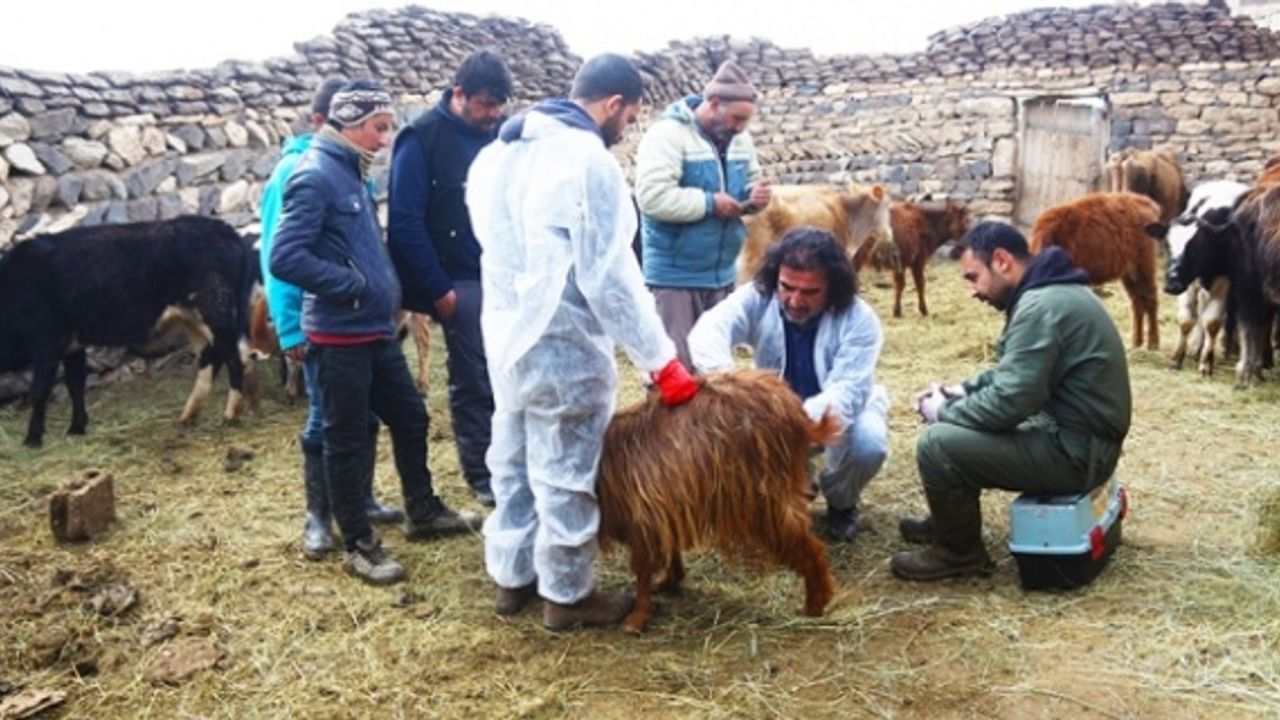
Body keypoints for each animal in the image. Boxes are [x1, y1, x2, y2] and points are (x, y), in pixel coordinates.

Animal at [0, 215, 259, 445]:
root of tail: (226, 230)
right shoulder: (73, 345)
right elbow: (76, 386)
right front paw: (76, 428)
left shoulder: (47, 341)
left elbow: (39, 389)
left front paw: (32, 438)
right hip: (194, 321)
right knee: (211, 359)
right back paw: (189, 417)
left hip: (217, 315)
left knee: (236, 358)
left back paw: (230, 415)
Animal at [596, 366, 839, 630]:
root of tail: (794, 410)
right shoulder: (669, 509)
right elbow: (671, 548)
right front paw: (670, 580)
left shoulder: (643, 521)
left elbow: (642, 571)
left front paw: (636, 618)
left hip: (763, 499)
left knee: (808, 546)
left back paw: (815, 604)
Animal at [1029, 189, 1172, 348]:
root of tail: (1144, 201)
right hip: (1128, 272)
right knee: (1137, 300)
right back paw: (1136, 342)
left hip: (1143, 266)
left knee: (1150, 298)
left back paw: (1153, 343)